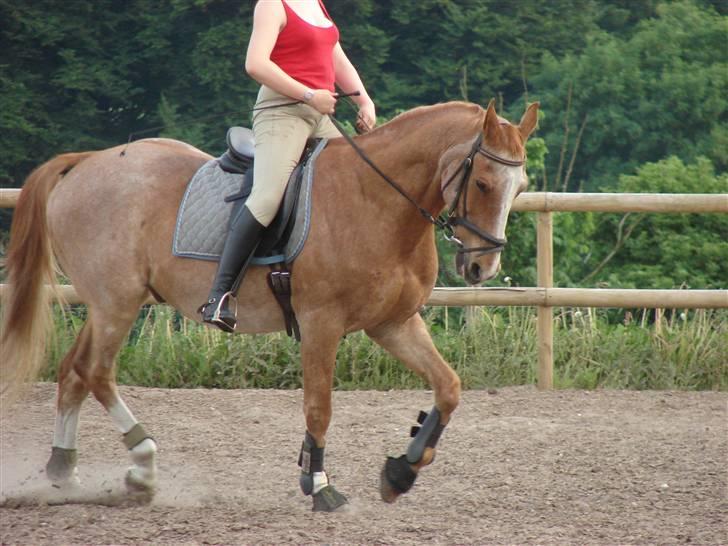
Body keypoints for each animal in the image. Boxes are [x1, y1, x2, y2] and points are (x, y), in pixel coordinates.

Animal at [1, 99, 540, 510]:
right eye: (484, 183)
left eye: (521, 187)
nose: (482, 267)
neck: (377, 201)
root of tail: (87, 161)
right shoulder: (322, 324)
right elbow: (319, 407)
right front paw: (320, 486)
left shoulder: (393, 323)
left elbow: (449, 387)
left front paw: (400, 472)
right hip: (116, 303)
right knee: (96, 372)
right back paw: (143, 464)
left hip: (107, 305)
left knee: (73, 371)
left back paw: (65, 472)